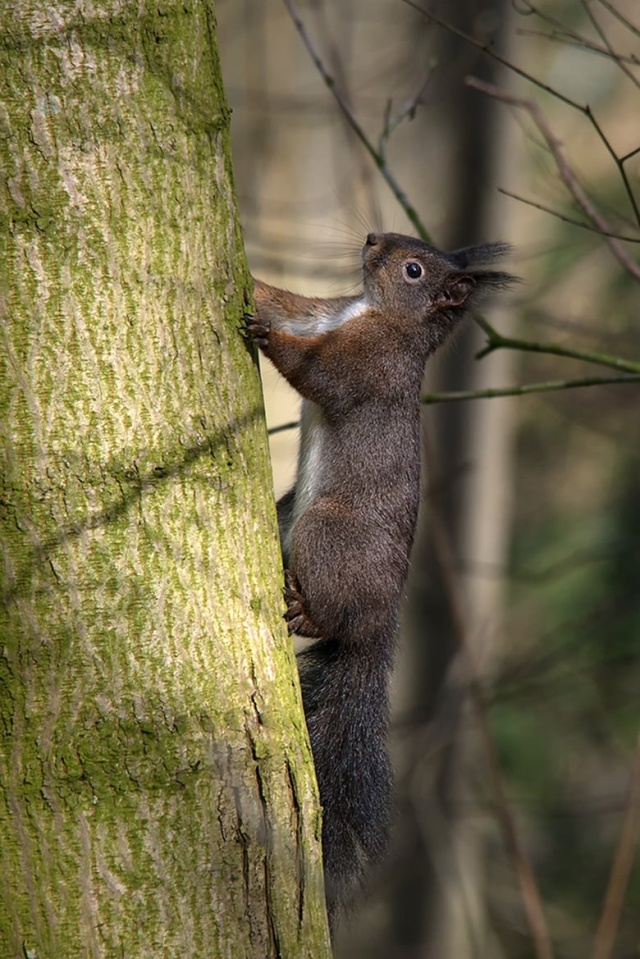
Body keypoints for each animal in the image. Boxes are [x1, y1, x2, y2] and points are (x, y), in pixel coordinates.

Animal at [244, 231, 513, 927]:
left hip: (327, 534)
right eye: (412, 249)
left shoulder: (370, 366)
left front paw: (264, 336)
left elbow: (319, 375)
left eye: (414, 268)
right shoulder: (324, 313)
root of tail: (377, 625)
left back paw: (306, 611)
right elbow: (289, 302)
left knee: (330, 611)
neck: (372, 309)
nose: (371, 239)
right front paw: (253, 284)